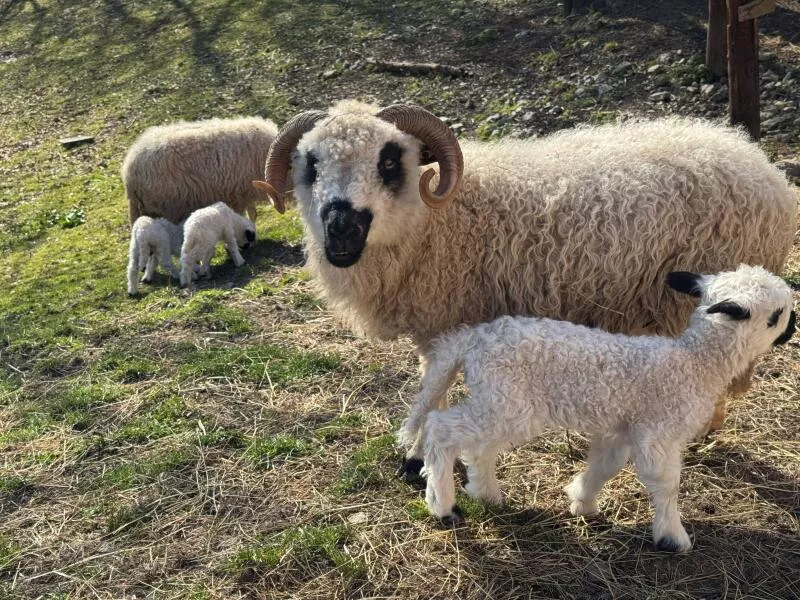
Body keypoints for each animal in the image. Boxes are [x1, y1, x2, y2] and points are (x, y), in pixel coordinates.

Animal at [256, 101, 797, 470]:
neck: (442, 219)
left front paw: (420, 456)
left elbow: (434, 387)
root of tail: (762, 166)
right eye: (311, 164)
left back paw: (705, 429)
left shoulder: (450, 324)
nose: (341, 228)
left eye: (390, 162)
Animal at [400, 265, 796, 552]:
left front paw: (582, 502)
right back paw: (442, 503)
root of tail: (473, 338)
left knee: (478, 447)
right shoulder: (659, 433)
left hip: (499, 402)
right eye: (777, 315)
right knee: (440, 427)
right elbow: (665, 483)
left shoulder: (621, 429)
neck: (695, 363)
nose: (793, 331)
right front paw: (673, 536)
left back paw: (487, 494)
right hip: (506, 403)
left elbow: (605, 466)